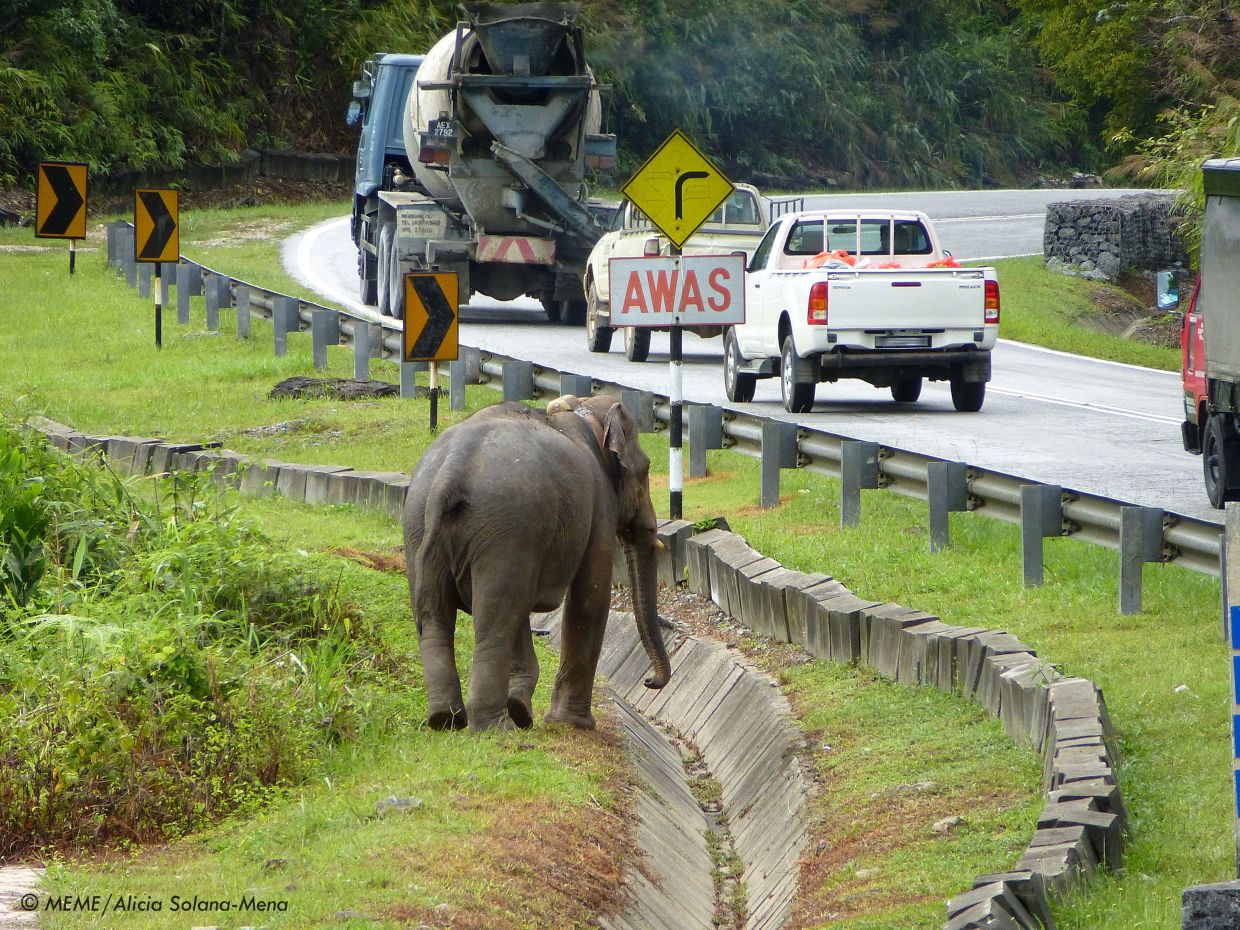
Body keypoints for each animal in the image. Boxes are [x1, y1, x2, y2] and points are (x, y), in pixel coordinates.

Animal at [403, 393, 672, 732]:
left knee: (438, 620)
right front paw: (573, 724)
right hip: (506, 531)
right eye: (646, 468)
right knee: (495, 624)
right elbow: (590, 598)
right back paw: (495, 729)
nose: (649, 681)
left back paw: (446, 719)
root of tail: (448, 476)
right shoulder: (599, 507)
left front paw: (522, 709)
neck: (584, 407)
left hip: (418, 524)